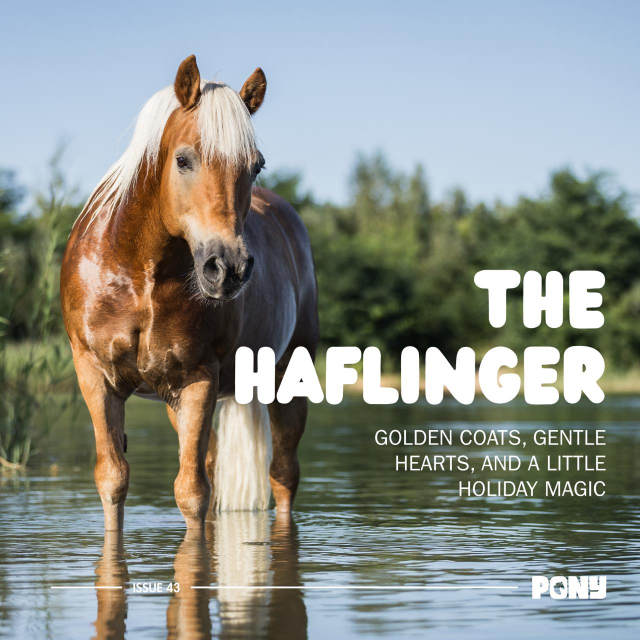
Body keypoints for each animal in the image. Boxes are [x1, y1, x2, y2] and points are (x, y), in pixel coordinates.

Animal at [60, 55, 319, 531]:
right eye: (183, 160)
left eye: (256, 166)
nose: (229, 268)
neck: (139, 274)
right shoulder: (95, 375)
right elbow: (113, 480)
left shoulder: (199, 378)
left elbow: (191, 493)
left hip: (287, 378)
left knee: (282, 476)